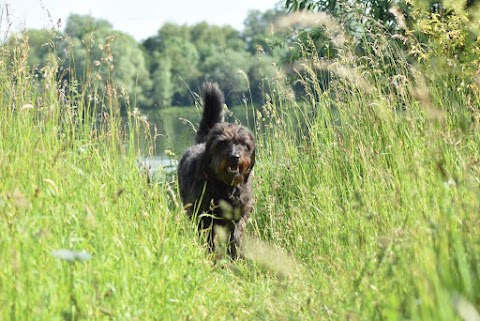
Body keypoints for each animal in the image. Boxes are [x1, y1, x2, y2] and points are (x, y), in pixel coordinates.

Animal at [177, 81, 255, 258]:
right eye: (223, 143)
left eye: (243, 143)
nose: (235, 156)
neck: (225, 186)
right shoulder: (205, 216)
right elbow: (209, 238)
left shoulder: (239, 214)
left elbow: (236, 236)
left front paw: (235, 256)